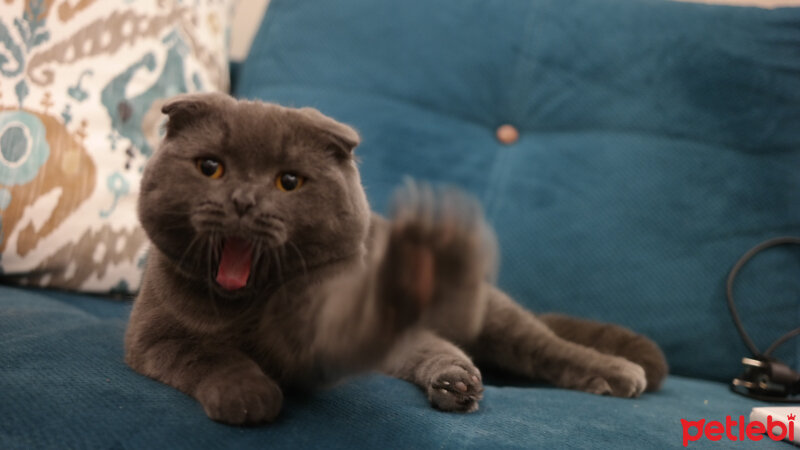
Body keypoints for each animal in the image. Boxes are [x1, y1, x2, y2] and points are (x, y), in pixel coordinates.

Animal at [125, 92, 664, 426]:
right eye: (210, 168)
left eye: (288, 181)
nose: (242, 200)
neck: (247, 308)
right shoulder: (152, 336)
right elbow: (206, 354)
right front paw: (248, 395)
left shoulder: (323, 332)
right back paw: (454, 381)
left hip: (497, 318)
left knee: (544, 345)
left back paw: (615, 373)